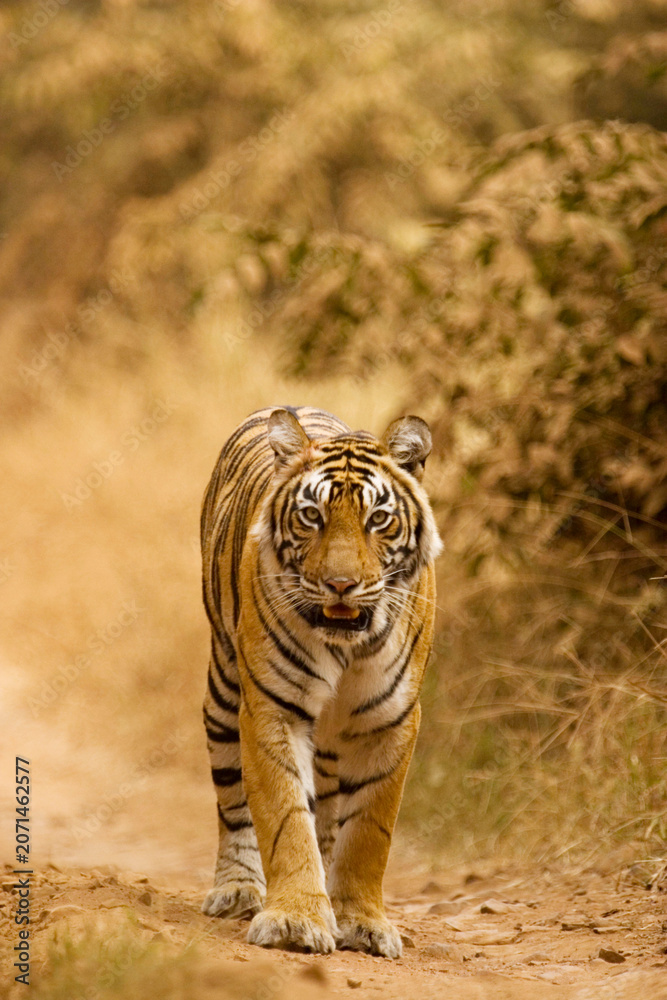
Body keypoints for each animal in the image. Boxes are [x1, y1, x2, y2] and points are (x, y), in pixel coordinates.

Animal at [200, 405, 442, 957]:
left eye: (379, 519)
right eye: (312, 516)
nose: (340, 585)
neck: (346, 648)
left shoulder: (390, 721)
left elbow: (368, 834)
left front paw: (363, 923)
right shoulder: (272, 708)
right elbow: (287, 818)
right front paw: (295, 920)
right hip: (224, 689)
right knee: (234, 802)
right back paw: (237, 889)